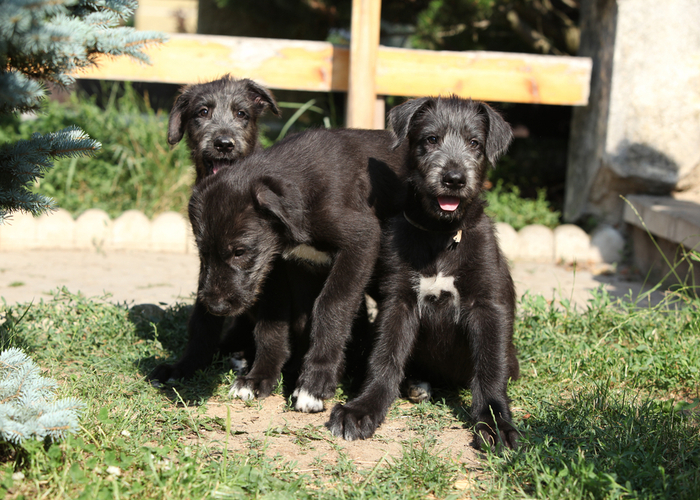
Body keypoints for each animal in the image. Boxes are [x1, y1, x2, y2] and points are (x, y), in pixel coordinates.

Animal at [186, 127, 408, 412]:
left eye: (240, 252)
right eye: (202, 252)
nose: (215, 307)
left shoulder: (362, 240)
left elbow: (331, 304)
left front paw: (315, 382)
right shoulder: (280, 267)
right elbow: (274, 322)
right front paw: (260, 377)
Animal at [328, 96, 520, 450]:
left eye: (475, 143)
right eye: (431, 139)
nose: (454, 179)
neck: (441, 235)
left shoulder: (488, 305)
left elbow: (490, 367)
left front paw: (496, 422)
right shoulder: (399, 302)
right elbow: (385, 358)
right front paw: (363, 408)